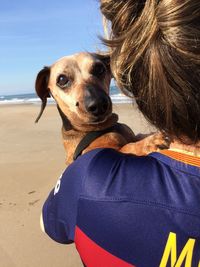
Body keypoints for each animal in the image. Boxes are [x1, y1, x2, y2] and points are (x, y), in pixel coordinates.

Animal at [34, 52, 169, 164]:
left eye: (99, 69)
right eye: (62, 79)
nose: (98, 104)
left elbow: (136, 137)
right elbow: (127, 147)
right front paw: (148, 143)